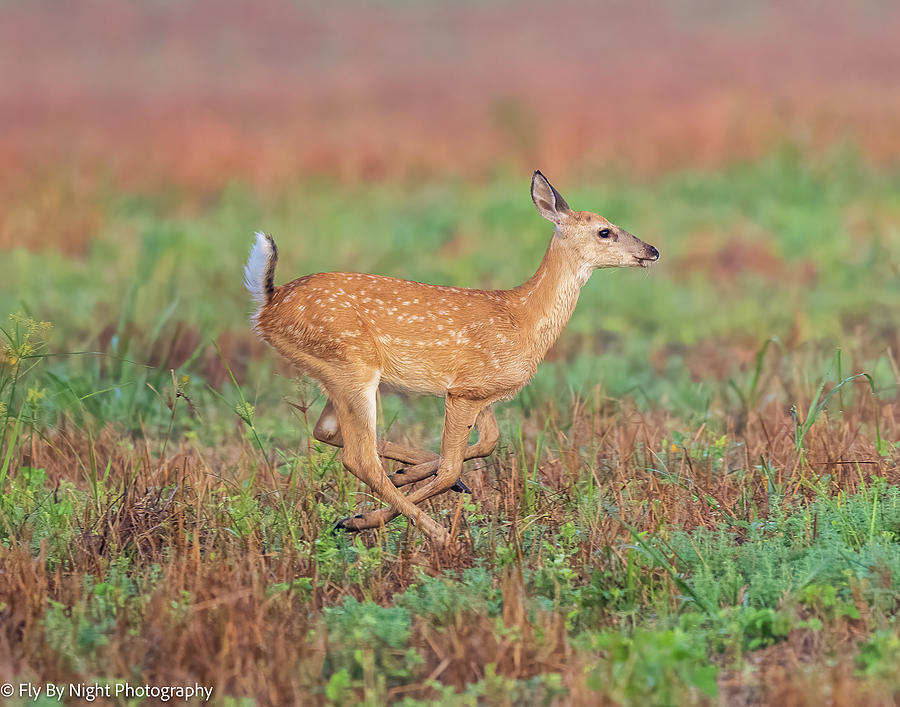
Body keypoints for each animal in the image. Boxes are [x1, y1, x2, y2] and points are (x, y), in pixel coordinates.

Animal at [243, 171, 656, 548]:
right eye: (605, 231)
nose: (652, 250)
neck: (522, 318)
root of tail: (269, 302)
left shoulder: (481, 391)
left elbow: (487, 443)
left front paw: (410, 476)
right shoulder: (465, 390)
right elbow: (450, 465)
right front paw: (389, 510)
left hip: (336, 371)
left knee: (327, 432)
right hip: (352, 365)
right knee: (359, 456)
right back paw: (421, 531)